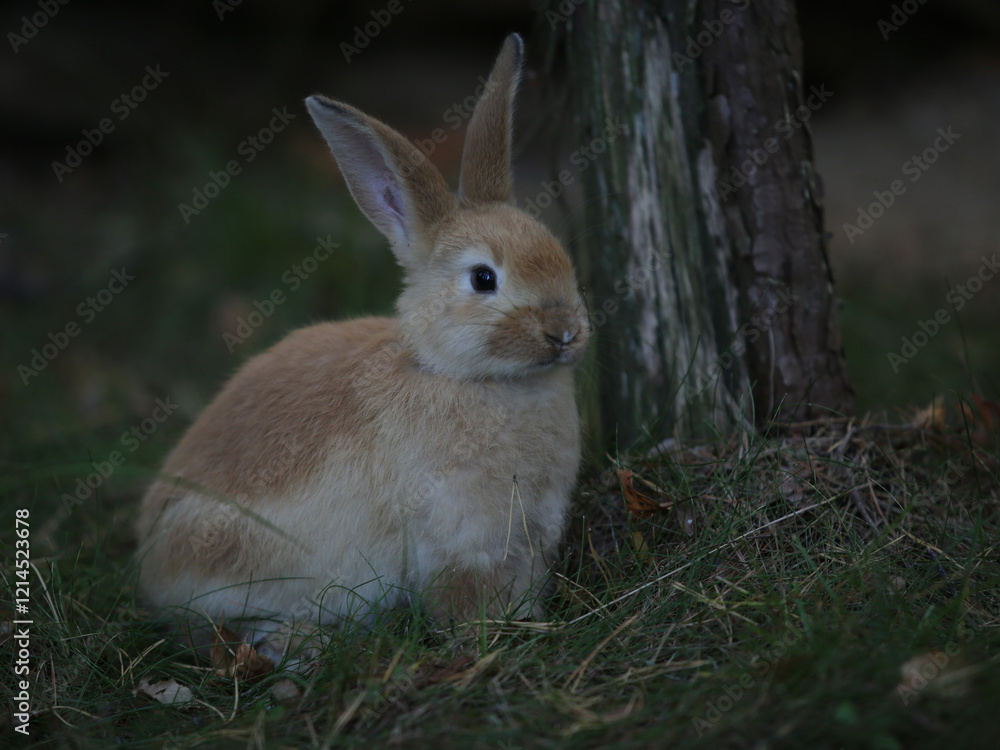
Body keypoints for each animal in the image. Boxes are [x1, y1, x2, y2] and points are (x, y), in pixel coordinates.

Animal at [134, 33, 590, 658]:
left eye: (559, 252)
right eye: (483, 279)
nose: (564, 331)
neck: (460, 375)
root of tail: (151, 564)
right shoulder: (456, 540)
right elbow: (460, 596)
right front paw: (483, 638)